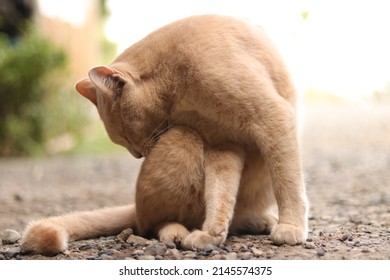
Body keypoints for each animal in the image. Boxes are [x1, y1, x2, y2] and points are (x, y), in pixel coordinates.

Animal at [20, 15, 308, 256]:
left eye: (124, 135)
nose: (137, 155)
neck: (181, 92)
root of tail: (135, 207)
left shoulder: (269, 118)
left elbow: (286, 182)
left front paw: (291, 225)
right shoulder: (222, 144)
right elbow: (220, 195)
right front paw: (210, 234)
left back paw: (259, 221)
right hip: (183, 137)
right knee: (154, 222)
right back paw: (176, 231)